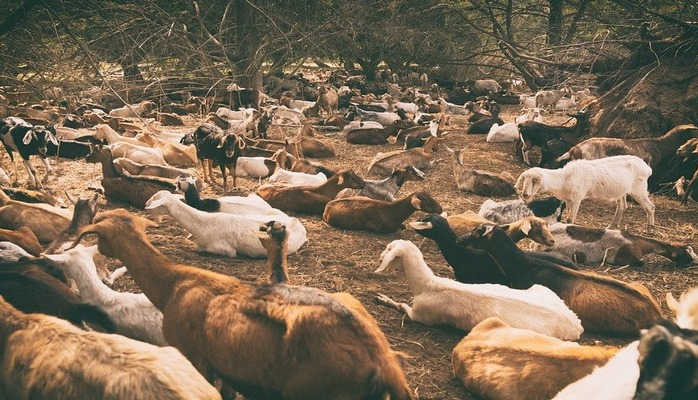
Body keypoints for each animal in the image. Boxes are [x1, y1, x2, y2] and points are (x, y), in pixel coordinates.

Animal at [145, 190, 306, 258]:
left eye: (155, 198)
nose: (145, 205)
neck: (204, 224)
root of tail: (298, 223)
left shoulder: (225, 250)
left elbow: (201, 249)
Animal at [375, 240, 583, 339]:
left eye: (389, 249)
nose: (379, 258)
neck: (428, 285)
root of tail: (576, 324)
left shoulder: (421, 315)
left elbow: (401, 305)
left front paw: (382, 298)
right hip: (540, 289)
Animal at [515, 155, 656, 232]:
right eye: (524, 179)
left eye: (535, 181)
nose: (525, 194)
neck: (564, 178)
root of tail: (648, 168)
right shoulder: (568, 199)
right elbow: (568, 217)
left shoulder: (577, 198)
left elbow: (570, 218)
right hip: (621, 191)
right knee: (622, 206)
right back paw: (611, 226)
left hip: (639, 190)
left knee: (650, 207)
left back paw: (650, 228)